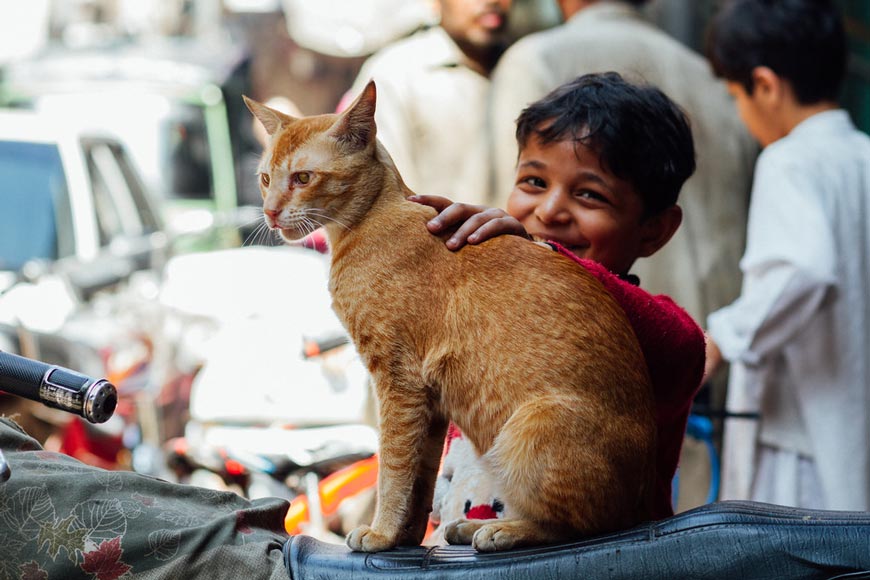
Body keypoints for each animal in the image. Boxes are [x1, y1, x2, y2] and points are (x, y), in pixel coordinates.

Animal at [244, 81, 656, 552]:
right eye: (265, 179)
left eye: (303, 178)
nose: (270, 211)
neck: (371, 221)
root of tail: (643, 494)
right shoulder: (430, 400)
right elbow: (420, 480)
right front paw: (404, 538)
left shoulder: (397, 382)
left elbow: (392, 468)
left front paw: (380, 532)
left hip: (530, 428)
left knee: (586, 526)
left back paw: (502, 530)